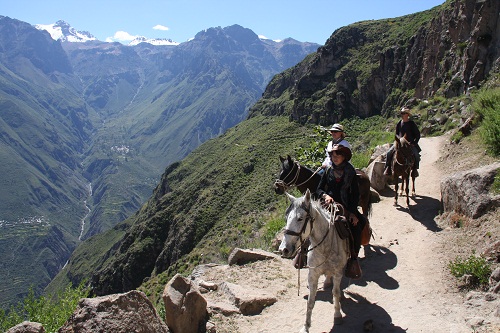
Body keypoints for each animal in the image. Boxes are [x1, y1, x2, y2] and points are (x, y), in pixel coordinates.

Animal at [280, 188, 350, 330]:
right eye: (286, 218)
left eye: (300, 218)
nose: (284, 249)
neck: (325, 246)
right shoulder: (312, 275)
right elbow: (310, 302)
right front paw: (306, 326)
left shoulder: (338, 273)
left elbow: (336, 293)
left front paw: (337, 315)